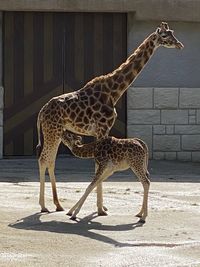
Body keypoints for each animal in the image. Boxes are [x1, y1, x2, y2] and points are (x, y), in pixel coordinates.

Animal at [36, 21, 184, 214]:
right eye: (165, 36)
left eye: (173, 32)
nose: (179, 45)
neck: (114, 92)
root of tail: (41, 112)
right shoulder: (102, 128)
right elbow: (98, 167)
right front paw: (100, 209)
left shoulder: (100, 131)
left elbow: (98, 167)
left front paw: (100, 206)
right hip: (52, 131)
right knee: (44, 159)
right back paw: (44, 205)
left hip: (56, 131)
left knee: (50, 161)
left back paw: (57, 204)